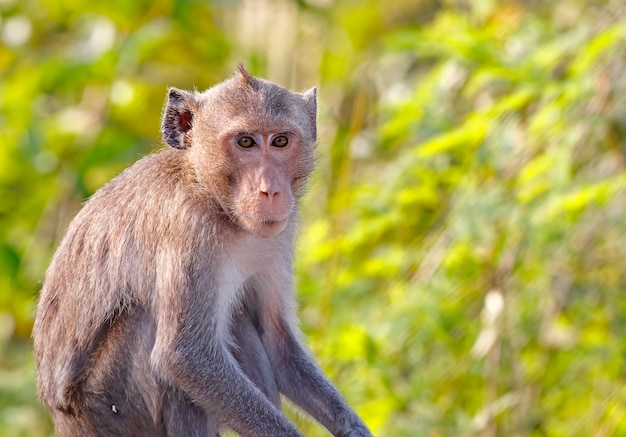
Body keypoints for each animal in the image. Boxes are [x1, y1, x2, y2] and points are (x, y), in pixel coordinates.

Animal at [33, 65, 370, 436]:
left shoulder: (279, 234)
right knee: (149, 329)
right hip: (108, 406)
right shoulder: (188, 230)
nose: (269, 190)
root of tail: (63, 419)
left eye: (280, 141)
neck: (212, 198)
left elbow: (275, 337)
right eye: (246, 142)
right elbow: (185, 356)